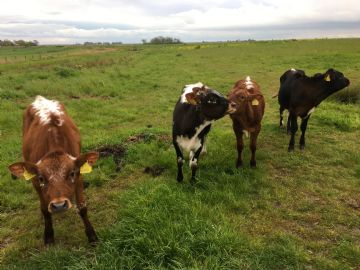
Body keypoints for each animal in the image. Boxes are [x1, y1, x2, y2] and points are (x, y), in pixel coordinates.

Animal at [8, 96, 98, 246]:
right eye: (41, 178)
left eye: (72, 173)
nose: (59, 205)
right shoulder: (34, 181)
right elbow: (45, 210)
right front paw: (49, 236)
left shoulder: (79, 176)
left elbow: (82, 207)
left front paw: (92, 236)